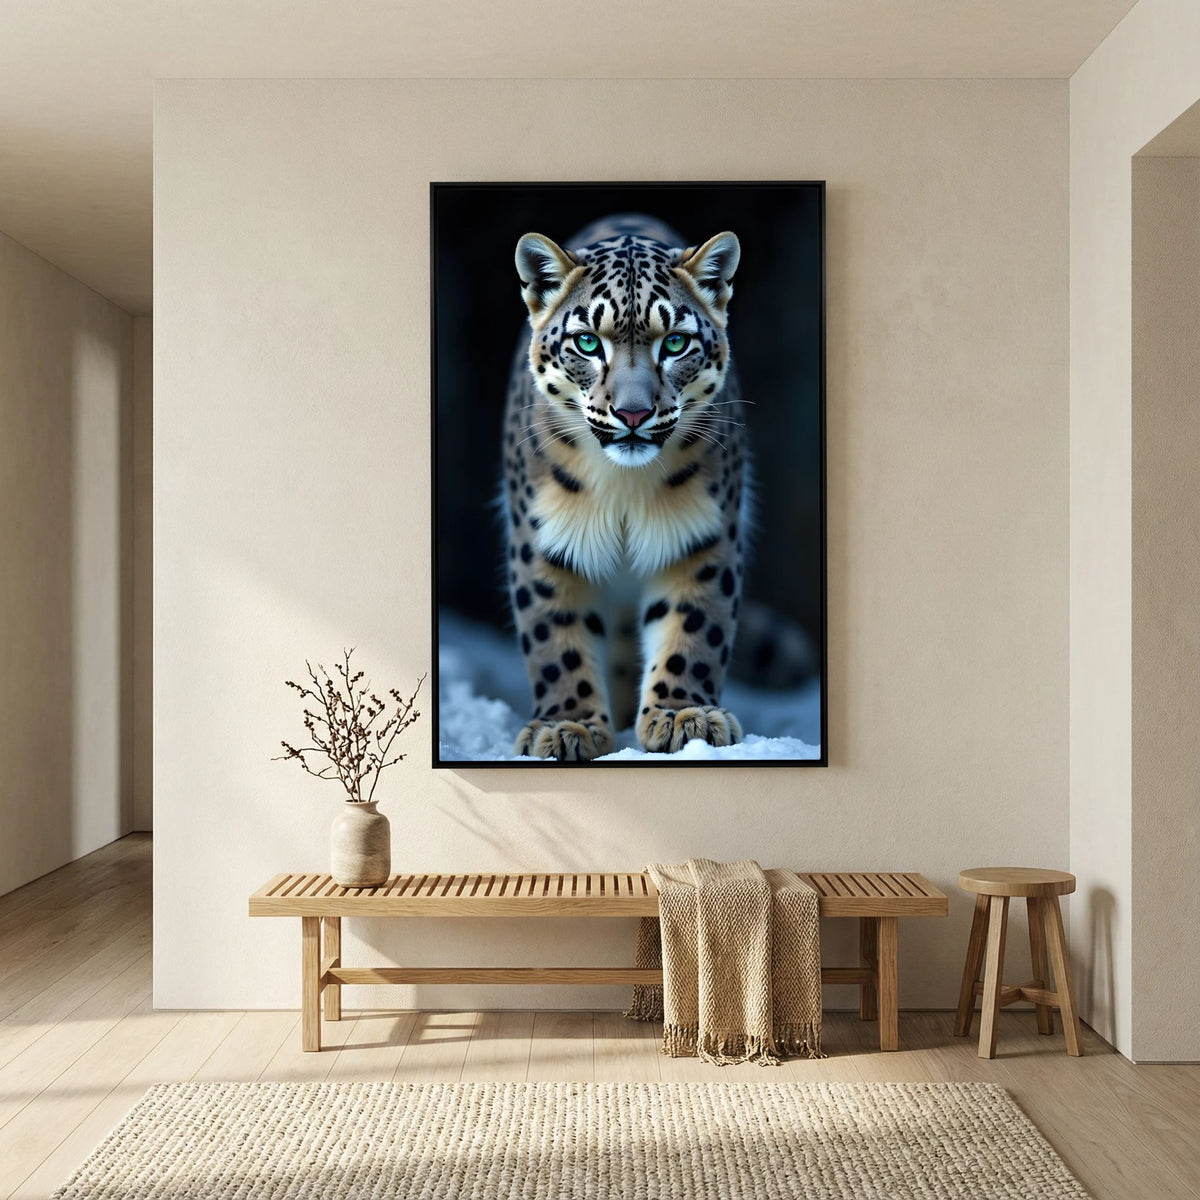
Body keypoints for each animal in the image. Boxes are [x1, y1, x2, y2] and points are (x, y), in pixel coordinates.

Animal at [501, 213, 750, 761]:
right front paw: (567, 725)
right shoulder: (544, 541)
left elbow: (693, 626)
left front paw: (683, 716)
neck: (623, 488)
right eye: (588, 342)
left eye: (674, 343)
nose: (633, 413)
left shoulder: (702, 536)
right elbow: (555, 637)